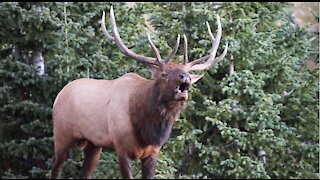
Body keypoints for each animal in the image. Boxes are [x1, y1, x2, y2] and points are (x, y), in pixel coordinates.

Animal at [50, 5, 228, 179]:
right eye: (164, 74)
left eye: (186, 72)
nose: (186, 77)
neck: (145, 128)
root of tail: (59, 94)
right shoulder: (121, 148)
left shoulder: (153, 152)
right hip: (62, 134)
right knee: (55, 168)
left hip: (93, 144)